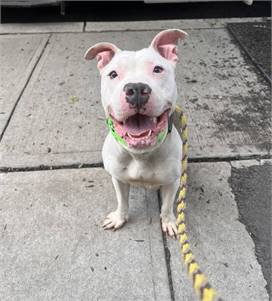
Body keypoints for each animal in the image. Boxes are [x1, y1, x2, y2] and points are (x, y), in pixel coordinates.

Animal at [84, 30, 187, 237]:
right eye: (113, 74)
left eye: (158, 69)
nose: (137, 89)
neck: (141, 154)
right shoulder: (118, 178)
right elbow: (122, 202)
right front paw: (119, 218)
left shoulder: (172, 182)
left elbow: (167, 206)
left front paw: (169, 221)